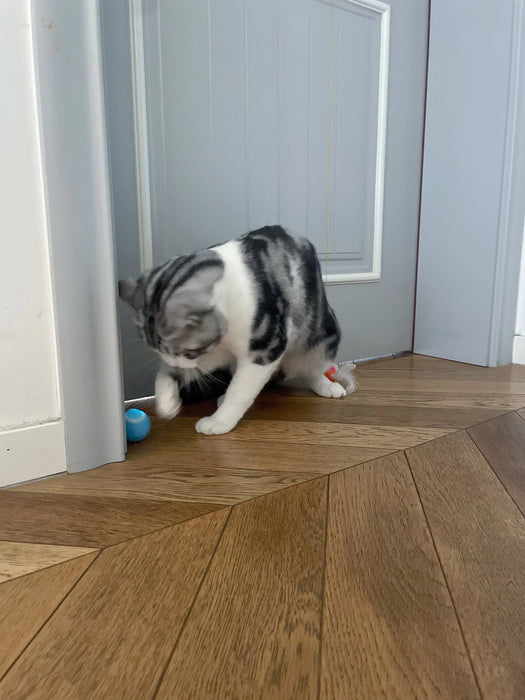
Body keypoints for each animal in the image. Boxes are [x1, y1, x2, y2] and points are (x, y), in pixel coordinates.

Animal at [119, 224, 356, 432]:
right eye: (157, 350)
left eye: (184, 350)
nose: (173, 362)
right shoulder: (214, 352)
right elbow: (173, 372)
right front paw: (167, 399)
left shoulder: (265, 348)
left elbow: (240, 391)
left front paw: (219, 421)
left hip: (322, 336)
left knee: (311, 367)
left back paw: (326, 385)